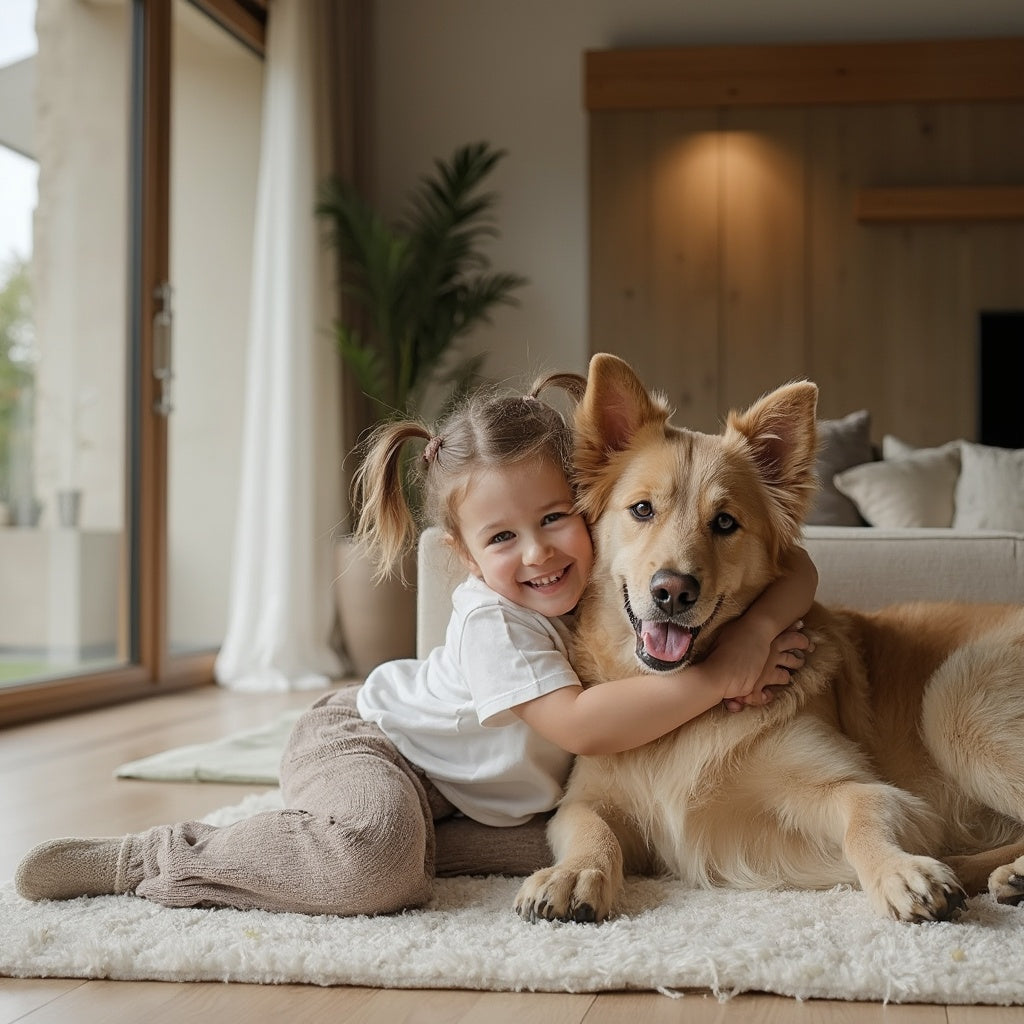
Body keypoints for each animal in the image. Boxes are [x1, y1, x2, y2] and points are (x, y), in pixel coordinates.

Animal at [516, 356, 1024, 925]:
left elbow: (866, 813)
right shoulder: (586, 799)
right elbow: (590, 828)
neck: (676, 709)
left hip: (956, 703)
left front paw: (902, 871)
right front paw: (573, 872)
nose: (673, 591)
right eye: (642, 509)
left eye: (724, 522)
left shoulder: (857, 788)